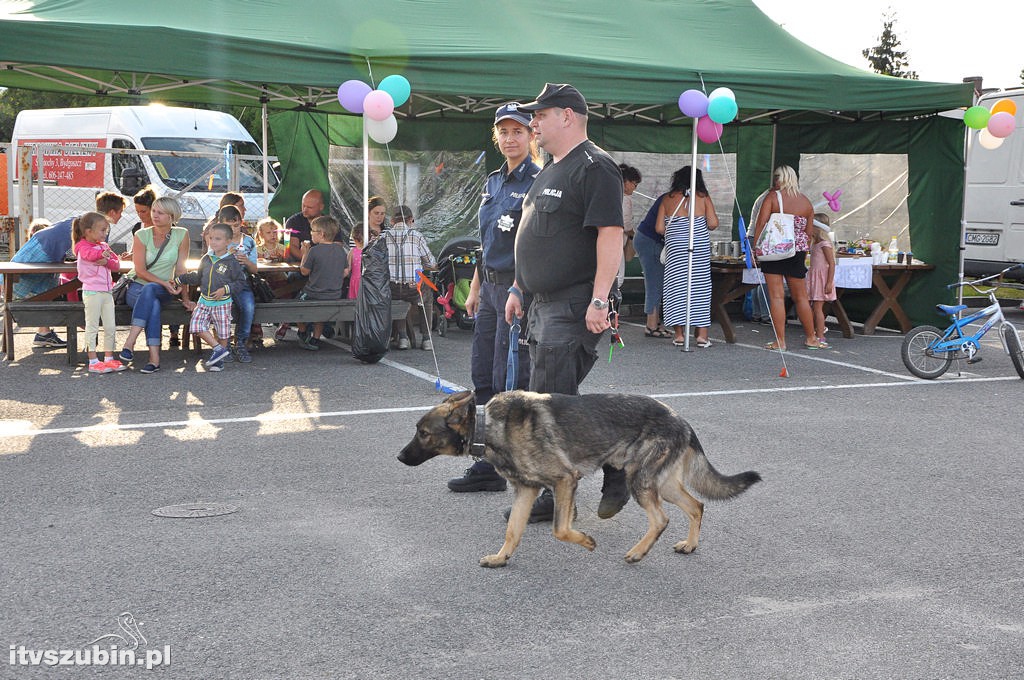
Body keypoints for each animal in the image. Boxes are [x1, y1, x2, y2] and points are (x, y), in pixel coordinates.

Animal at [399, 391, 761, 565]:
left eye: (423, 433)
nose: (399, 457)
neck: (487, 427)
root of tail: (681, 419)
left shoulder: (564, 481)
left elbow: (560, 529)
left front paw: (586, 541)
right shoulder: (526, 491)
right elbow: (513, 530)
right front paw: (501, 558)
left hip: (641, 481)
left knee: (661, 519)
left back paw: (638, 553)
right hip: (662, 483)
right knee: (697, 505)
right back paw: (690, 544)